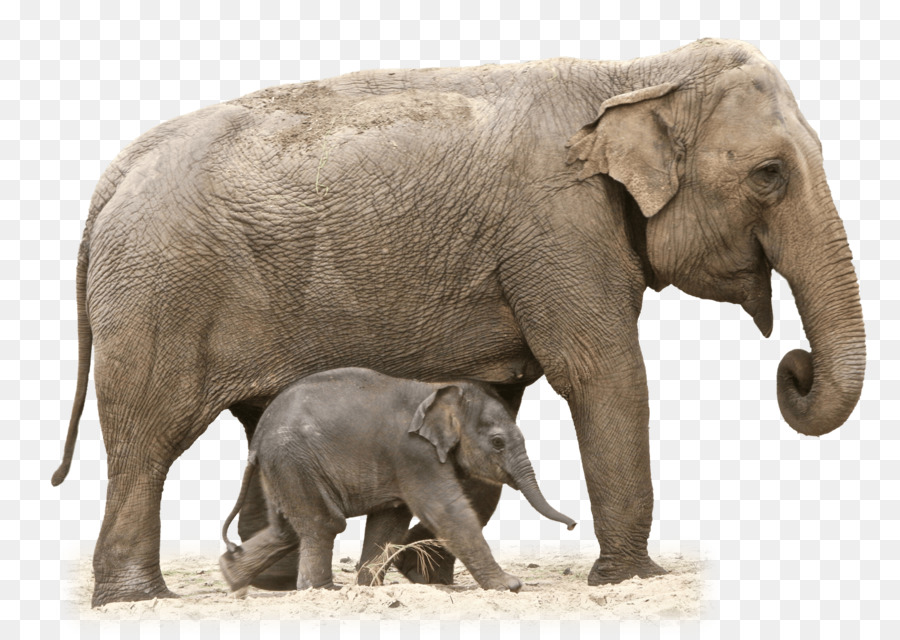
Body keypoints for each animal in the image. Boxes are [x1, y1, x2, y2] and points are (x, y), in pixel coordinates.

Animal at [216, 367, 576, 593]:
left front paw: (369, 588)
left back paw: (231, 577)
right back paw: (321, 590)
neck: (440, 389)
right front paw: (510, 586)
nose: (573, 526)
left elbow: (390, 520)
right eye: (498, 442)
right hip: (294, 459)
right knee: (324, 523)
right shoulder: (413, 454)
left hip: (283, 466)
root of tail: (257, 440)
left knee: (288, 529)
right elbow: (446, 511)